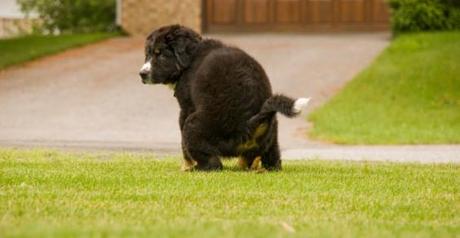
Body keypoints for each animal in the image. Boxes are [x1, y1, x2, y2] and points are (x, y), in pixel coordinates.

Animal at [139, 25, 310, 171]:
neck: (191, 58)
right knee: (273, 160)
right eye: (147, 54)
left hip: (194, 125)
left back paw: (195, 169)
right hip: (272, 134)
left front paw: (186, 166)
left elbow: (184, 147)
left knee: (214, 164)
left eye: (160, 54)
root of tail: (249, 125)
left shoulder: (186, 108)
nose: (142, 74)